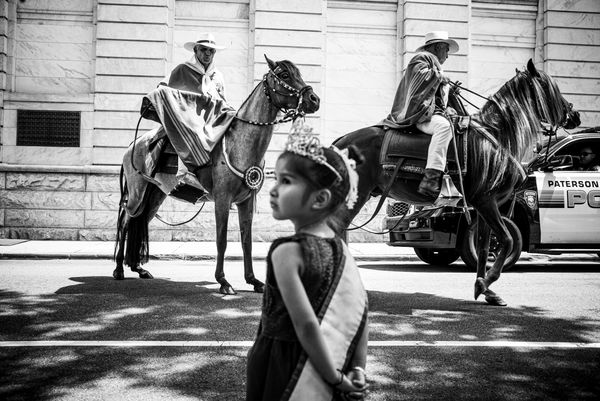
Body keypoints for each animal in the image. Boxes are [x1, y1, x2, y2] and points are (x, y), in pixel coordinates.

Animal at [113, 56, 320, 295]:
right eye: (285, 75)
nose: (314, 99)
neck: (240, 145)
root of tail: (132, 146)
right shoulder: (222, 199)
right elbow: (222, 240)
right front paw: (224, 281)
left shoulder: (246, 201)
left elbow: (246, 240)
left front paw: (253, 280)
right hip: (136, 193)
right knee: (126, 222)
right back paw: (118, 269)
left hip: (155, 196)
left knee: (141, 222)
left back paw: (139, 268)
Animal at [332, 59, 580, 306]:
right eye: (549, 86)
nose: (575, 114)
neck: (496, 137)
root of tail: (340, 141)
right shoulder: (486, 201)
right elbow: (507, 240)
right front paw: (487, 280)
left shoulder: (484, 206)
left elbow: (484, 246)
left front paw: (485, 288)